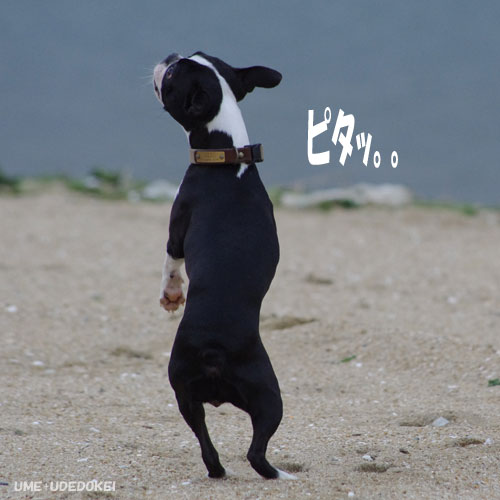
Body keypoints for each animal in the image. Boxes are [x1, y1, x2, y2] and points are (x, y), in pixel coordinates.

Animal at [153, 52, 295, 480]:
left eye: (172, 75)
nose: (168, 56)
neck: (228, 154)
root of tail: (214, 350)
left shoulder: (178, 225)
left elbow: (170, 262)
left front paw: (170, 296)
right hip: (241, 396)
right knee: (220, 449)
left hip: (250, 392)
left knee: (249, 454)